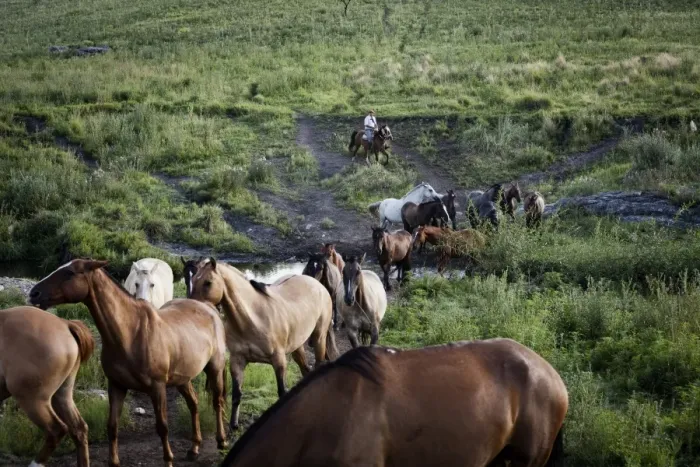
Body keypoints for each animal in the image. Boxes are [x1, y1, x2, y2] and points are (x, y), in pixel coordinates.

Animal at [29, 259, 228, 467]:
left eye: (70, 273)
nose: (34, 293)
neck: (130, 332)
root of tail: (208, 306)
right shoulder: (117, 386)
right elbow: (112, 426)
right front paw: (114, 462)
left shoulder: (157, 387)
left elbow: (162, 426)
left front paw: (168, 460)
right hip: (182, 378)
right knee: (194, 404)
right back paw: (194, 448)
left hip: (215, 368)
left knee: (217, 401)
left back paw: (221, 441)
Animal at [188, 258, 338, 434]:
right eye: (193, 280)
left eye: (208, 282)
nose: (193, 308)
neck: (253, 318)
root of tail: (316, 284)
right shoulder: (237, 361)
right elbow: (236, 394)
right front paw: (233, 425)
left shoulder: (279, 361)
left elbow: (281, 392)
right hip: (297, 347)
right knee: (305, 370)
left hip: (319, 338)